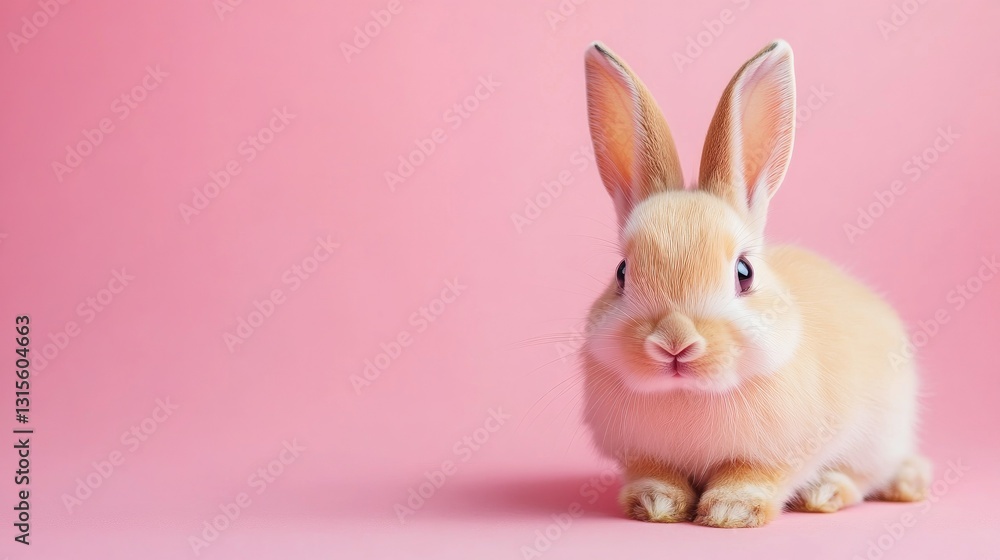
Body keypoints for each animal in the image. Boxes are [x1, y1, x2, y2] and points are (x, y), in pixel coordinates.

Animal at [579, 39, 930, 528]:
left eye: (743, 273)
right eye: (622, 272)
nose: (674, 343)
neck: (690, 394)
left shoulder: (782, 452)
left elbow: (753, 474)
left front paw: (731, 511)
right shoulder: (642, 454)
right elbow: (656, 474)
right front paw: (655, 504)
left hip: (881, 432)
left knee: (867, 475)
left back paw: (839, 490)